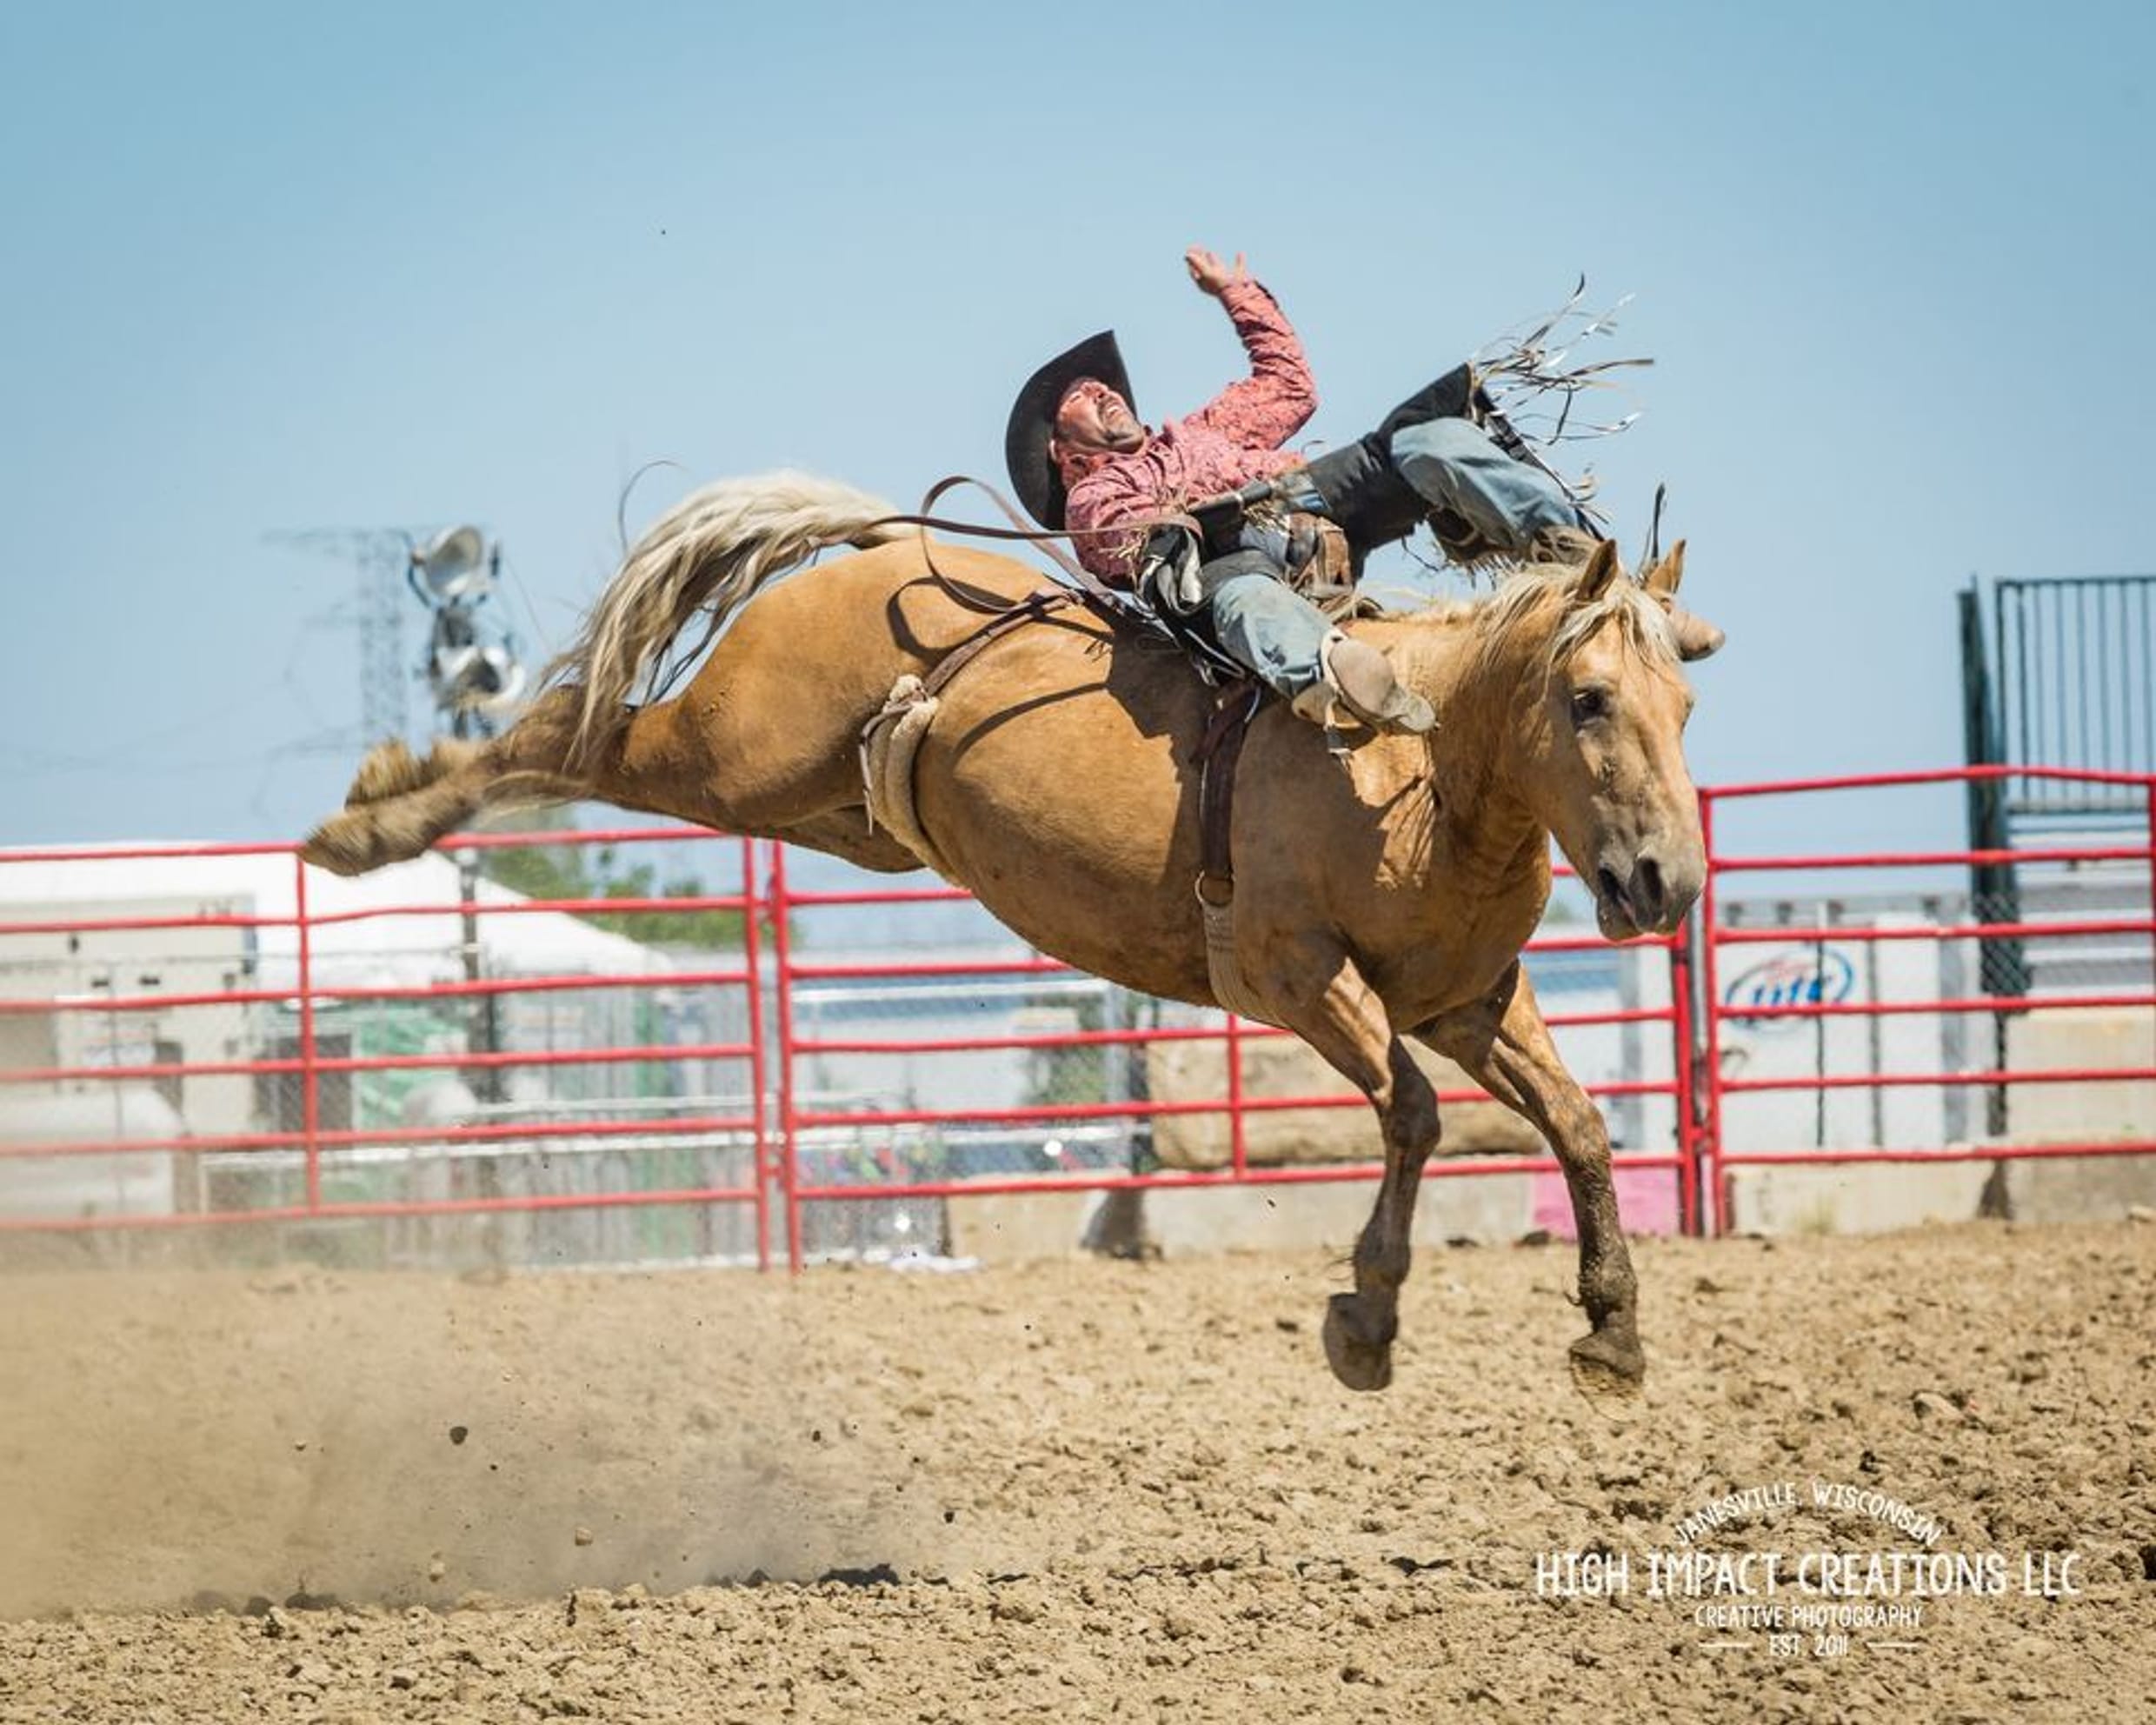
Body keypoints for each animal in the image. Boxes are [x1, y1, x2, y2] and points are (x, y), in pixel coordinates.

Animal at [303, 468, 1725, 1389]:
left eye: (1683, 706)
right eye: (1589, 698)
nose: (1663, 880)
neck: (1416, 767)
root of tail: (878, 546)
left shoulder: (1467, 1001)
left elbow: (1577, 1125)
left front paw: (1610, 1332)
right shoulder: (1300, 978)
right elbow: (1419, 1119)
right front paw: (1365, 1319)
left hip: (831, 810)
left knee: (593, 739)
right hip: (723, 752)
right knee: (570, 731)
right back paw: (371, 821)